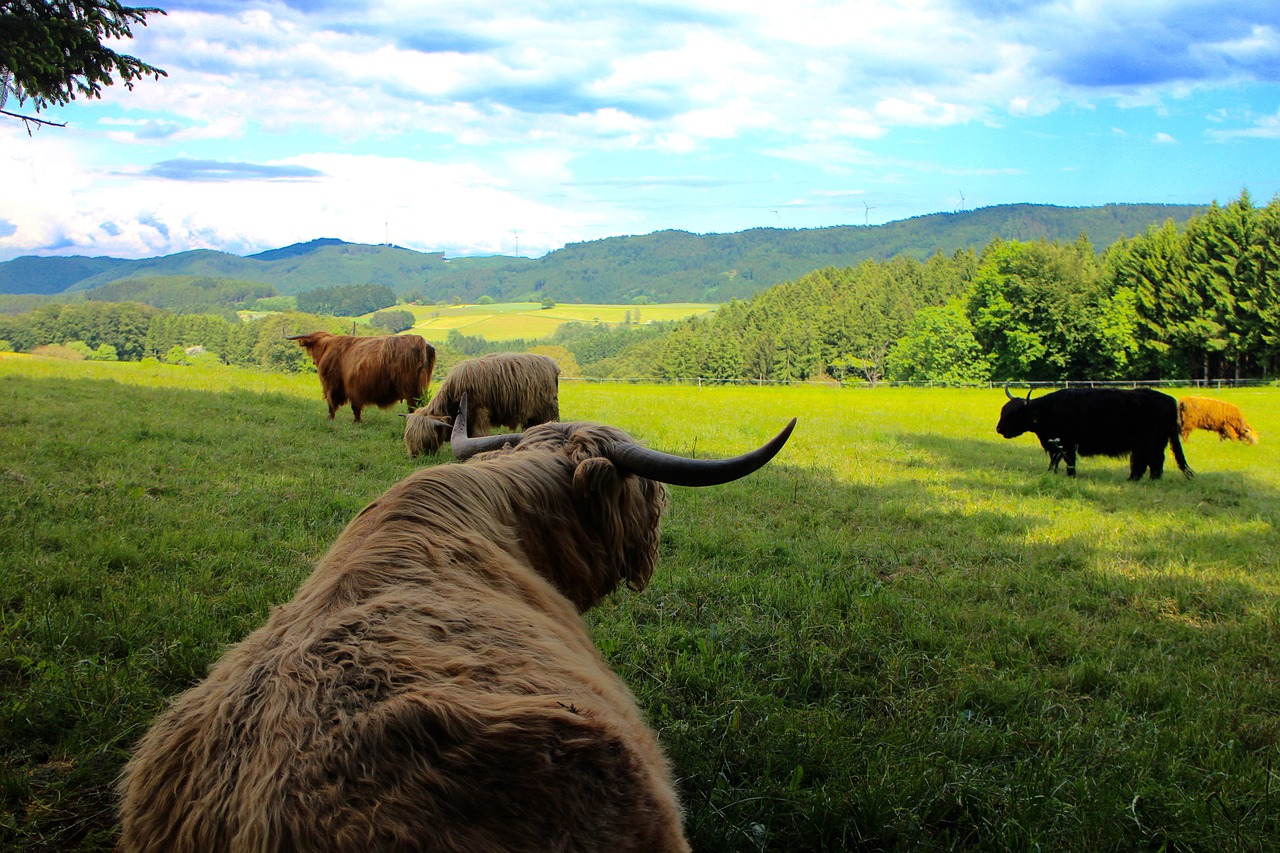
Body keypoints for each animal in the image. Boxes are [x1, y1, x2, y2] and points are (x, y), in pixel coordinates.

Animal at [286, 326, 435, 420]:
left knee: (413, 408)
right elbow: (355, 407)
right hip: (421, 387)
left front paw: (331, 419)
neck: (326, 347)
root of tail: (420, 342)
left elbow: (332, 405)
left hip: (410, 390)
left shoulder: (332, 385)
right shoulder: (354, 388)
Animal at [401, 348, 558, 455]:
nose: (414, 456)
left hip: (547, 409)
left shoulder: (479, 411)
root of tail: (550, 362)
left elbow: (478, 434)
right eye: (409, 437)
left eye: (425, 438)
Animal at [993, 384, 1192, 479]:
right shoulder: (1056, 445)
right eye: (1003, 410)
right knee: (1154, 462)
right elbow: (1054, 462)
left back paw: (1135, 479)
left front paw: (1071, 476)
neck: (1047, 411)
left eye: (1015, 413)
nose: (999, 428)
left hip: (1149, 443)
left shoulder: (1068, 444)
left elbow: (1069, 463)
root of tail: (1168, 399)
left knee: (1146, 462)